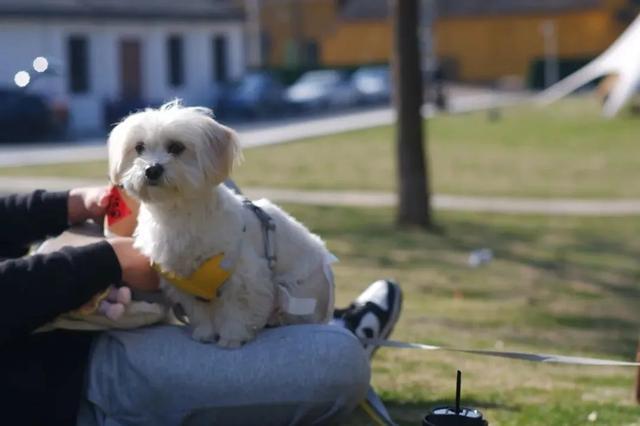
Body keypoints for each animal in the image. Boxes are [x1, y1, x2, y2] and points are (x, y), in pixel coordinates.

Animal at [107, 101, 336, 347]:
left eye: (176, 147)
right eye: (139, 148)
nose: (151, 169)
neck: (177, 215)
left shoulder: (245, 277)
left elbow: (237, 310)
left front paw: (231, 338)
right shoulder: (186, 285)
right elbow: (200, 313)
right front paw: (205, 333)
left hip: (298, 291)